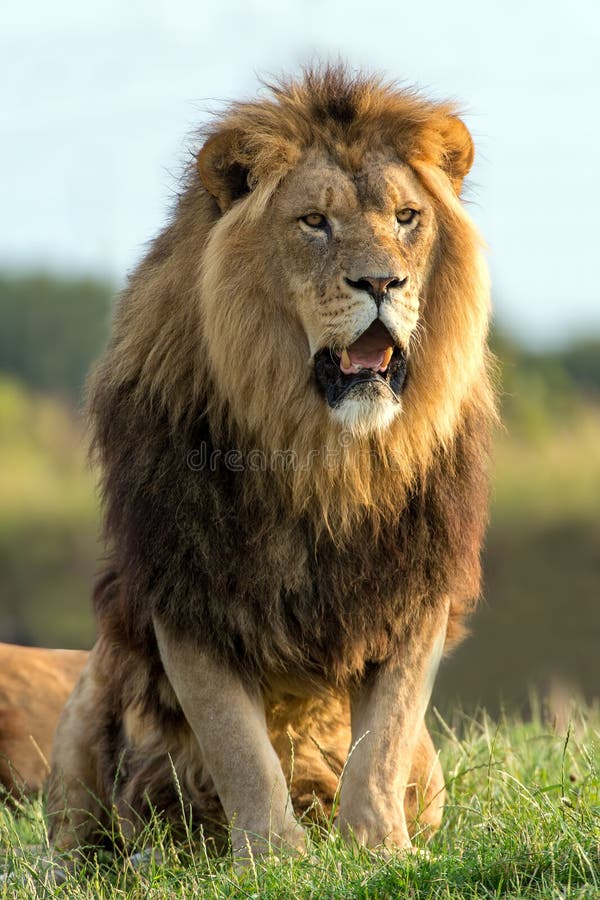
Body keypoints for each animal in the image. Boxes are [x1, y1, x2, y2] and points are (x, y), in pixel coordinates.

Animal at [47, 67, 495, 861]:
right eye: (314, 222)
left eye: (407, 217)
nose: (382, 284)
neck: (323, 453)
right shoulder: (184, 582)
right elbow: (237, 744)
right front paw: (273, 858)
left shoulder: (417, 582)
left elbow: (382, 740)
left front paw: (377, 847)